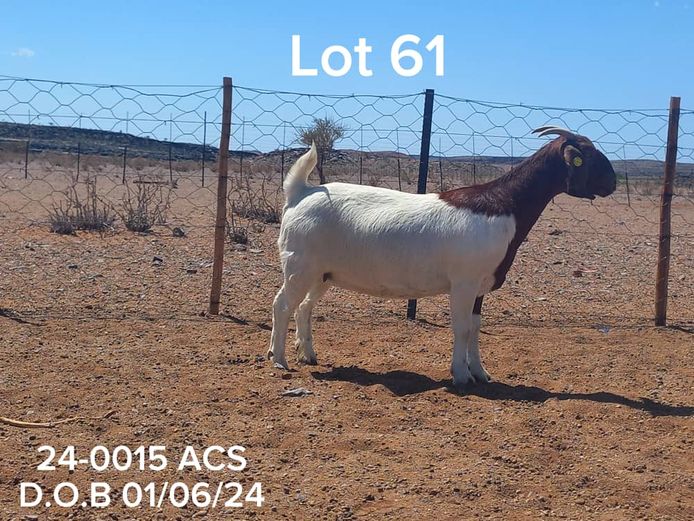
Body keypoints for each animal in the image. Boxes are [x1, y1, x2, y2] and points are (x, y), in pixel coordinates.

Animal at [268, 127, 616, 388]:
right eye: (586, 156)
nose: (613, 183)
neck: (504, 205)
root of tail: (301, 193)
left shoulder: (480, 285)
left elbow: (475, 326)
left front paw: (481, 373)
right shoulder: (464, 282)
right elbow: (461, 327)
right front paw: (461, 376)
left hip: (322, 273)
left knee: (304, 308)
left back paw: (307, 354)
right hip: (299, 265)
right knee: (282, 304)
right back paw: (279, 359)